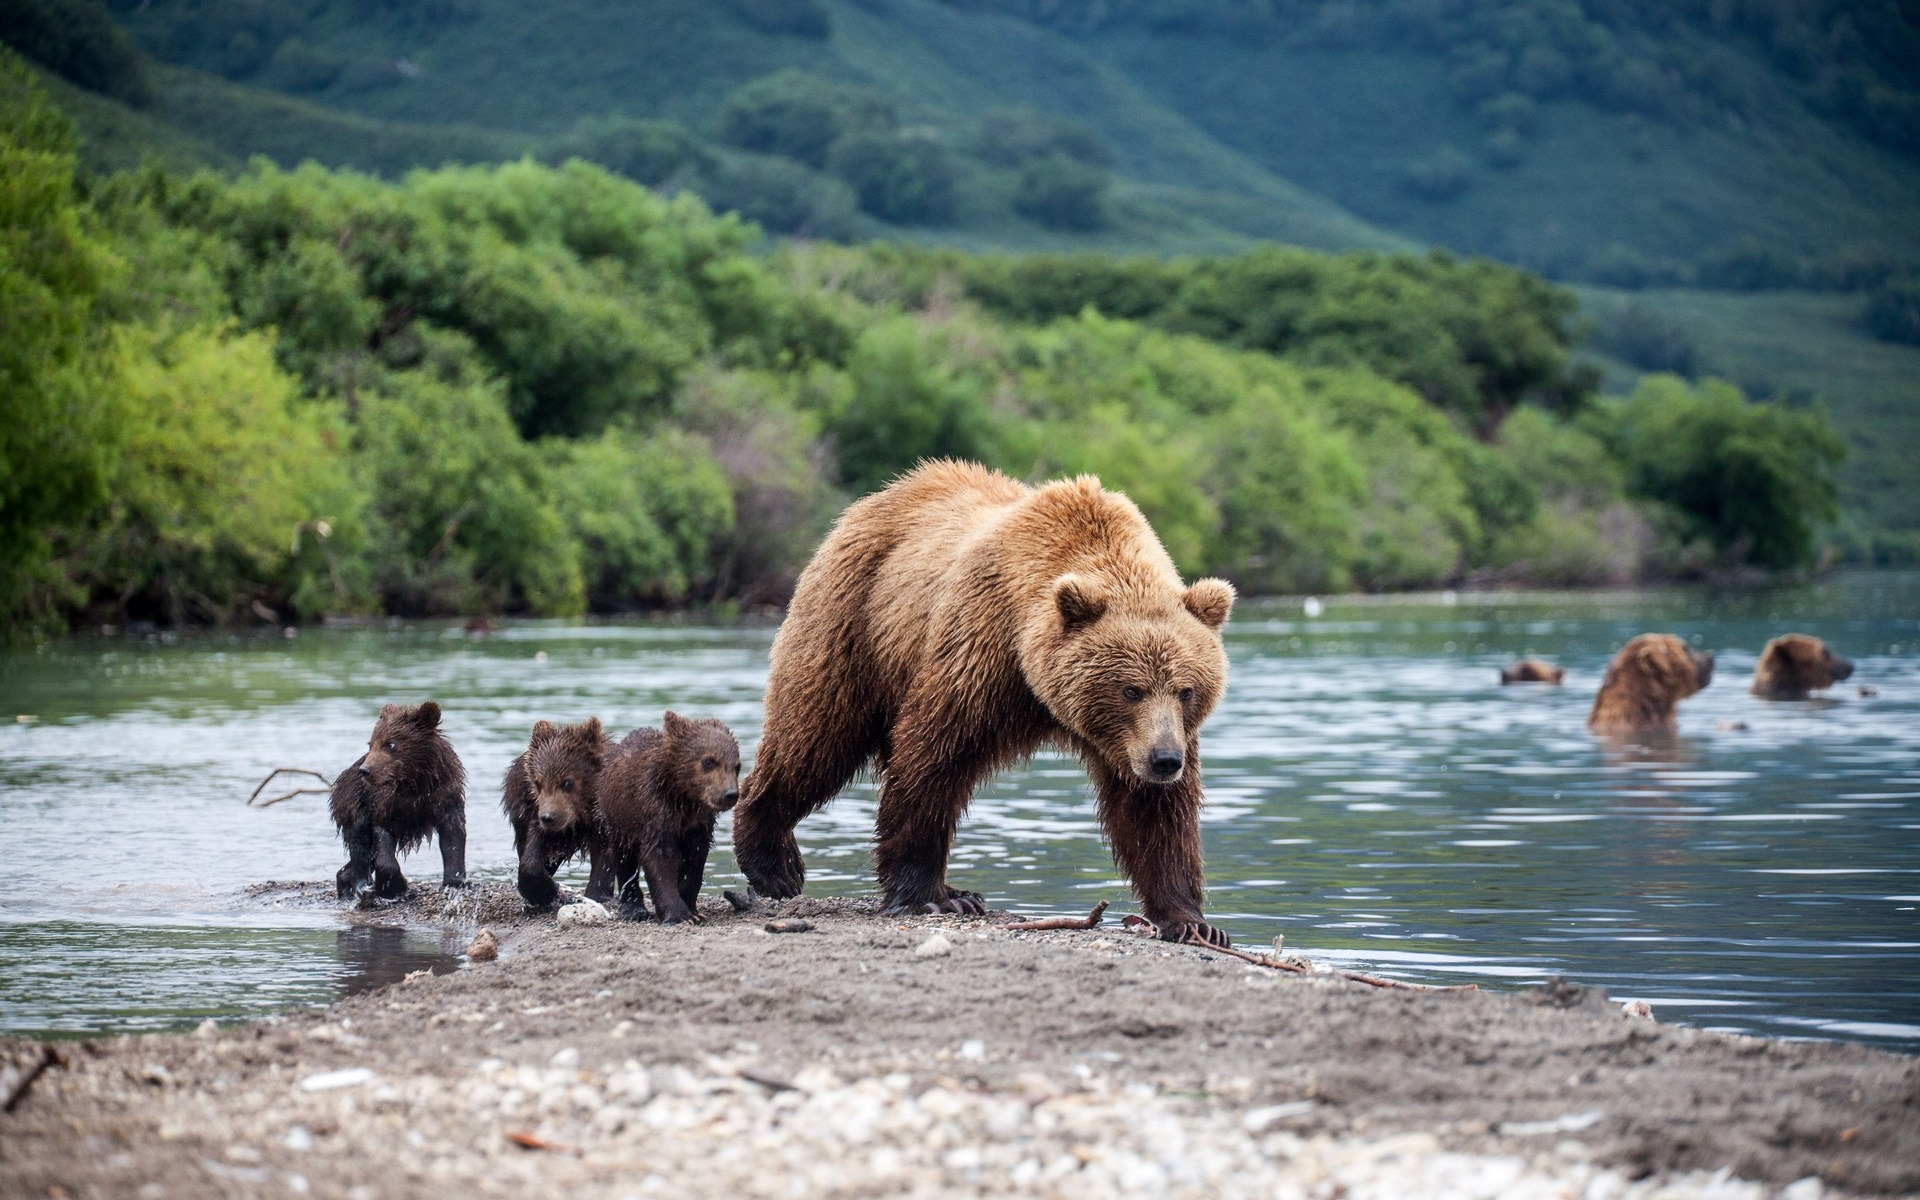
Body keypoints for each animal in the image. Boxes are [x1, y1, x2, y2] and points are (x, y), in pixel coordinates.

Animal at [725, 458, 1236, 944]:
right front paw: (929, 896)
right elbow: (934, 758)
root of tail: (883, 495)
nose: (1165, 760)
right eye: (1131, 689)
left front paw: (1192, 922)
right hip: (853, 620)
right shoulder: (980, 653)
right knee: (816, 736)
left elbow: (1154, 815)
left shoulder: (1139, 739)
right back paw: (776, 865)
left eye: (1186, 689)